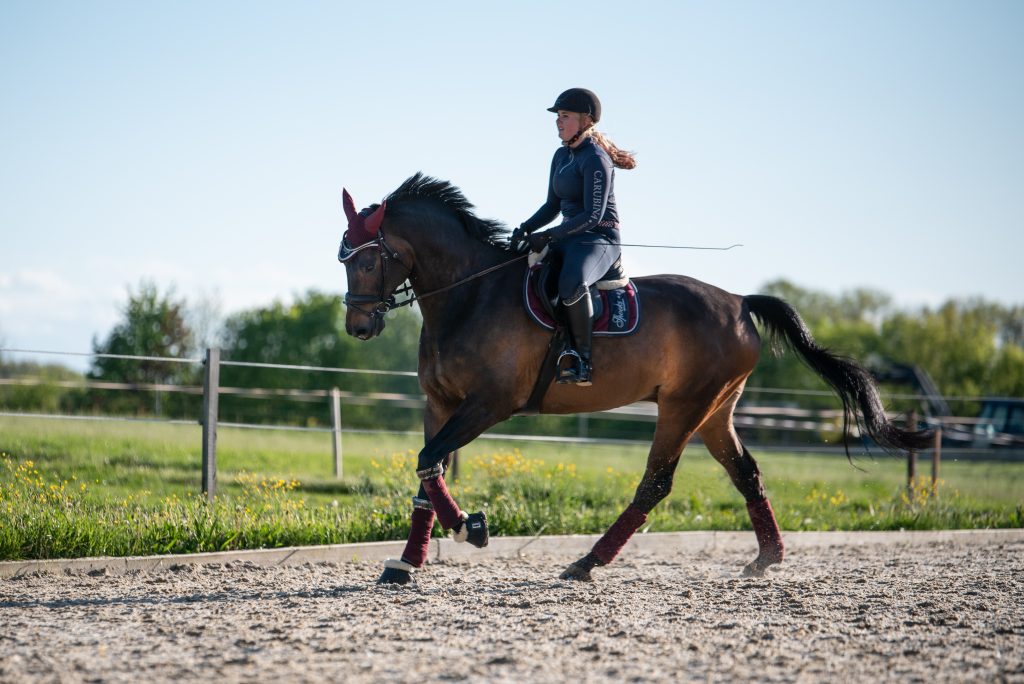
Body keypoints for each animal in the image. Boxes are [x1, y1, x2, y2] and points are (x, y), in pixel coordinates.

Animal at [339, 174, 933, 585]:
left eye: (365, 262)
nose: (358, 326)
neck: (470, 294)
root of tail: (740, 301)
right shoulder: (439, 404)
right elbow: (427, 473)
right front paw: (405, 564)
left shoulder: (490, 403)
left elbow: (428, 462)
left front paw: (472, 528)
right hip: (715, 411)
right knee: (745, 473)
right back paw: (766, 558)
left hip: (684, 406)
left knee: (656, 482)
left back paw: (588, 561)